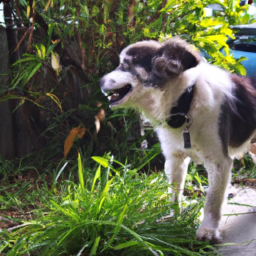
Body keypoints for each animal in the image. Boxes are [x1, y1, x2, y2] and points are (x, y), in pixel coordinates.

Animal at [99, 38, 256, 242]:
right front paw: (173, 221)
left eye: (125, 64)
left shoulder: (219, 162)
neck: (185, 103)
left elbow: (212, 200)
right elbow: (173, 193)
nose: (99, 81)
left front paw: (207, 230)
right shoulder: (175, 158)